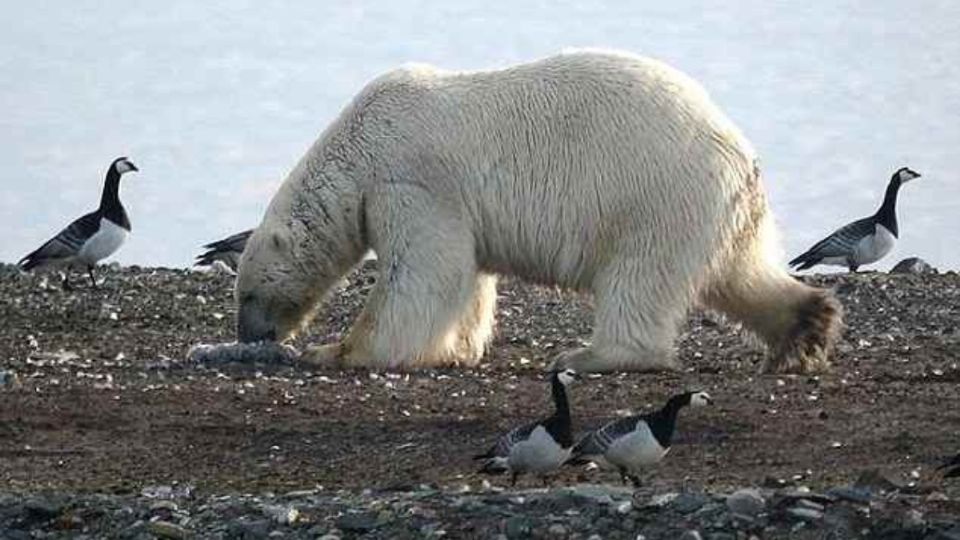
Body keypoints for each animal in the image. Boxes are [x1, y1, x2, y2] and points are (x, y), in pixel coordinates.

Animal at [238, 49, 840, 372]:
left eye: (247, 292)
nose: (248, 336)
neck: (359, 144)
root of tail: (738, 151)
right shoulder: (452, 203)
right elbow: (467, 278)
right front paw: (457, 349)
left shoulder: (411, 183)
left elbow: (421, 274)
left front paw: (337, 350)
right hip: (721, 209)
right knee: (738, 272)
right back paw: (805, 326)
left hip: (655, 196)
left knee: (640, 278)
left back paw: (590, 355)